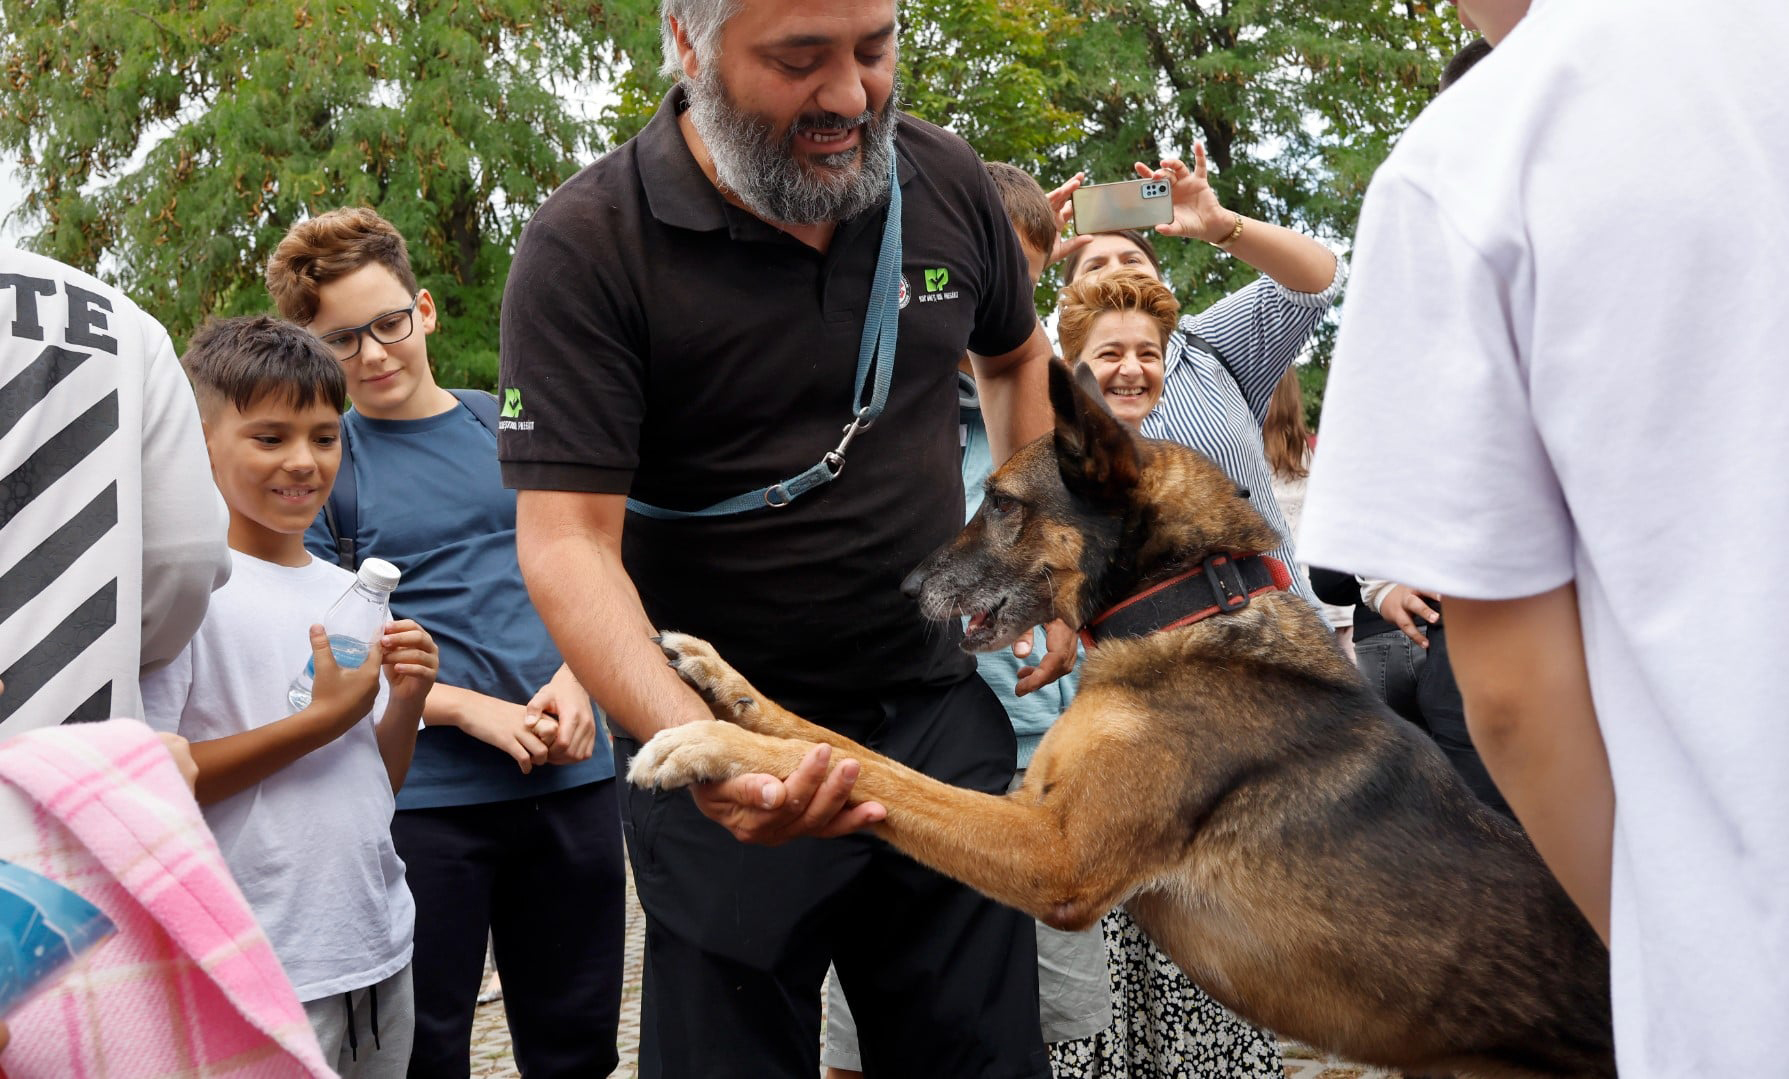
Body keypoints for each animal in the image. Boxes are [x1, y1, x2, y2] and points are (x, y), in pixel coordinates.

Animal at [626, 361, 1610, 1079]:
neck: (1187, 607)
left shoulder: (1052, 852)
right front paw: (721, 682)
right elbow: (841, 741)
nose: (904, 589)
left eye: (1002, 504)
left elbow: (880, 770)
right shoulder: (1028, 805)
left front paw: (707, 742)